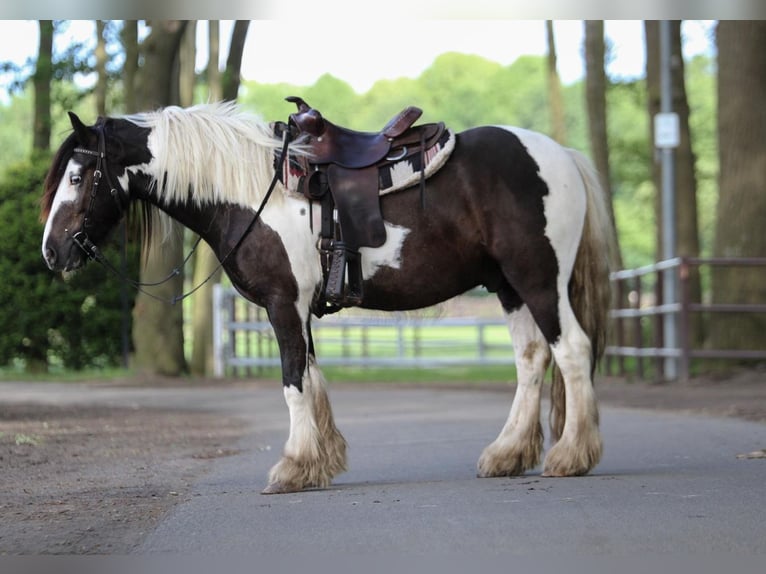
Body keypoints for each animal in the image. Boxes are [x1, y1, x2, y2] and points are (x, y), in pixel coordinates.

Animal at [40, 101, 613, 494]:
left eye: (79, 175)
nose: (51, 251)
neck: (250, 192)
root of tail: (560, 156)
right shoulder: (299, 310)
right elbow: (312, 379)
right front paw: (320, 462)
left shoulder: (282, 305)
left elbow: (293, 383)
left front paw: (293, 467)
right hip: (508, 286)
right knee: (531, 359)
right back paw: (507, 454)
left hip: (538, 278)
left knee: (571, 351)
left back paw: (571, 456)